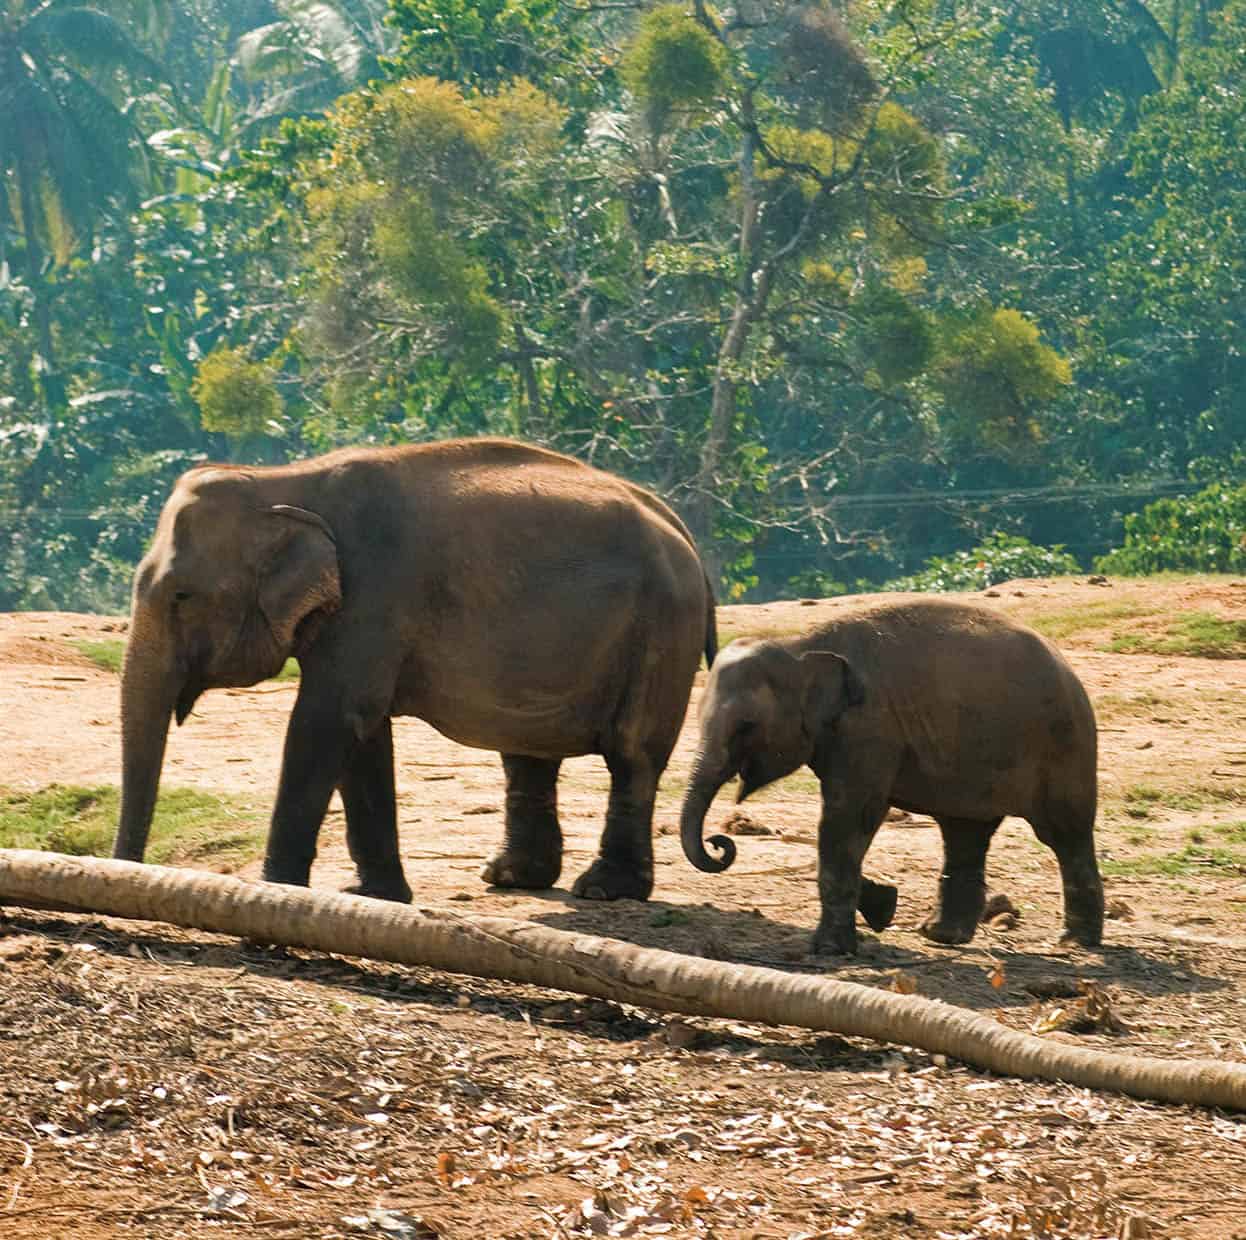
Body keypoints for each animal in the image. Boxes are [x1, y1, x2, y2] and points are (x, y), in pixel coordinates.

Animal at [118, 436, 722, 902]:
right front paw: (374, 895)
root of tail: (686, 535)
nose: (128, 869)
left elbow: (329, 718)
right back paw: (510, 877)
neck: (284, 483)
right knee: (527, 754)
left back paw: (603, 889)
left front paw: (279, 889)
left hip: (661, 631)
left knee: (632, 754)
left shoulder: (374, 594)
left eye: (181, 597)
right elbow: (363, 733)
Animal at [682, 595, 1101, 957]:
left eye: (745, 727)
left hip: (1064, 749)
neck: (803, 645)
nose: (720, 843)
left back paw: (1076, 942)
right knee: (964, 833)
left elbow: (848, 818)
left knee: (1064, 834)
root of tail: (1068, 670)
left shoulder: (870, 731)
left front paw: (831, 948)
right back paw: (942, 935)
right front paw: (882, 905)